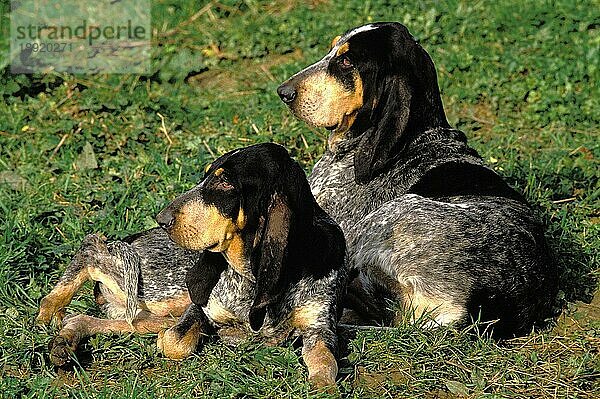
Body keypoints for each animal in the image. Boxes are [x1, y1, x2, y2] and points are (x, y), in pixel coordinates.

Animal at [276, 21, 556, 338]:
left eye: (346, 62)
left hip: (387, 216)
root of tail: (477, 309)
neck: (412, 137)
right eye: (332, 49)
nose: (283, 92)